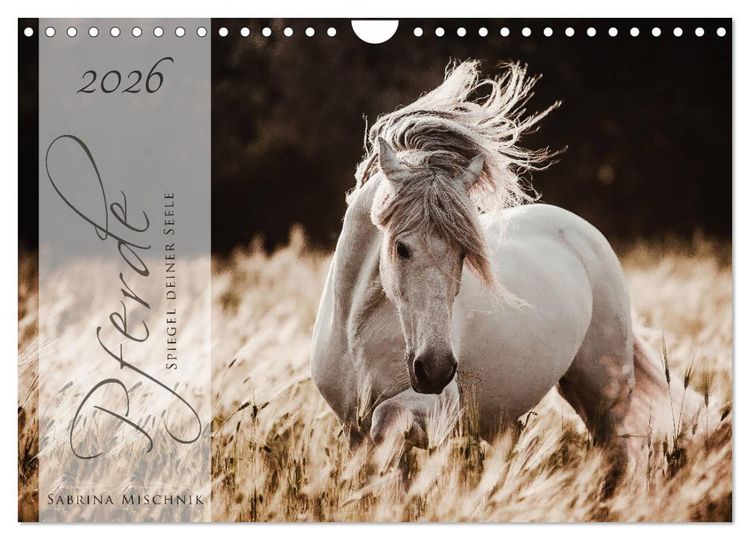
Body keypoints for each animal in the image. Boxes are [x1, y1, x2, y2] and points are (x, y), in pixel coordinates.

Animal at [311, 61, 705, 467]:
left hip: (604, 387)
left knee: (623, 447)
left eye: (464, 253)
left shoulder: (435, 407)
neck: (357, 330)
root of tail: (581, 232)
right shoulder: (351, 430)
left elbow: (385, 422)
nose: (435, 370)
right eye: (401, 248)